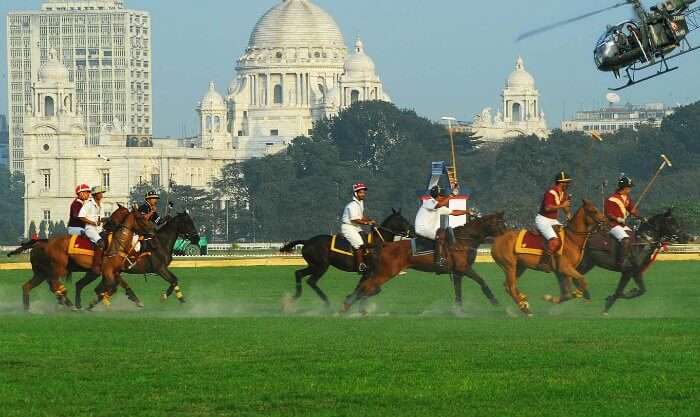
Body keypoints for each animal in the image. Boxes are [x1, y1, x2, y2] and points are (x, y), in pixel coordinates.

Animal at [276, 210, 412, 308]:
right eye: (404, 220)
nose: (413, 232)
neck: (377, 242)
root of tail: (307, 241)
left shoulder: (366, 273)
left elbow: (363, 288)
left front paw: (350, 299)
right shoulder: (370, 272)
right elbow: (372, 289)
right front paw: (350, 299)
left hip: (313, 265)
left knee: (298, 273)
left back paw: (291, 299)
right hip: (322, 266)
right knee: (311, 281)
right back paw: (326, 303)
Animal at [340, 211, 508, 312]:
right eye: (501, 223)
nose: (508, 235)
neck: (463, 240)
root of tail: (384, 245)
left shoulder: (457, 272)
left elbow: (458, 293)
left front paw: (459, 311)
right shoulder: (464, 268)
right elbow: (482, 282)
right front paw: (496, 302)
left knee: (365, 287)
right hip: (386, 272)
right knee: (367, 287)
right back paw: (351, 308)